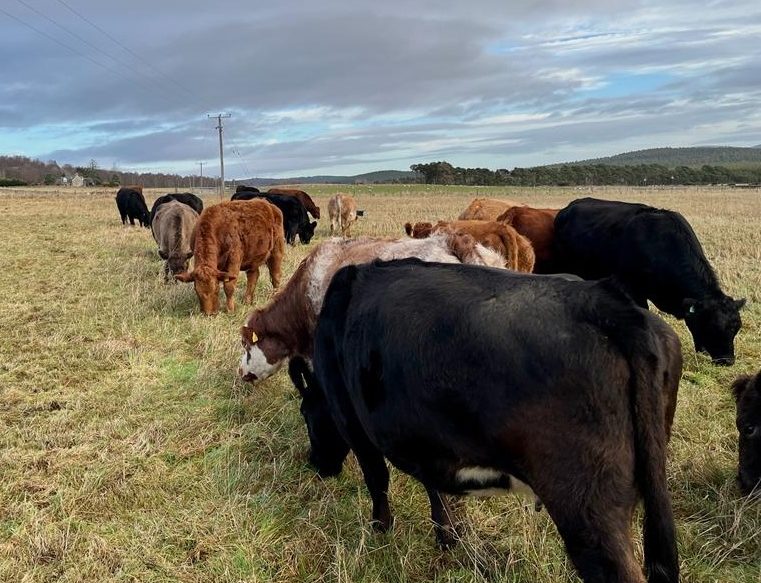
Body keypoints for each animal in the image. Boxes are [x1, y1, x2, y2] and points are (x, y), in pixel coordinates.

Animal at [298, 260, 684, 583]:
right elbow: (437, 492)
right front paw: (447, 539)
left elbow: (377, 479)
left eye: (307, 413)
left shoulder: (353, 423)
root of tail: (604, 300)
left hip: (588, 509)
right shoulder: (431, 443)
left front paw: (380, 530)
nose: (315, 464)